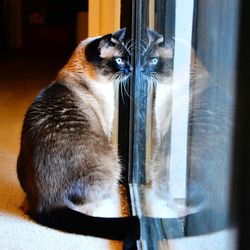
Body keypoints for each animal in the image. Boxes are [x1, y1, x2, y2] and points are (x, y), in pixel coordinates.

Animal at [16, 28, 140, 241]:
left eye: (127, 59)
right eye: (119, 60)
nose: (131, 69)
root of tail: (45, 204)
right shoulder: (107, 127)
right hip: (114, 161)